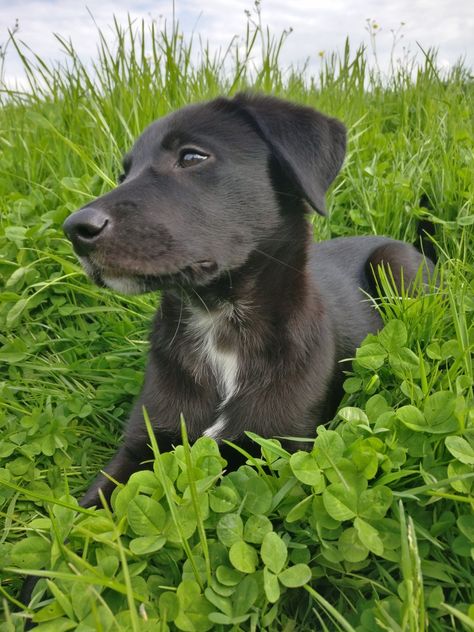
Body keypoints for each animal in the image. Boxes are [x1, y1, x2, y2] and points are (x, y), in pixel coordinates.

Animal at [62, 94, 434, 508]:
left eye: (192, 157)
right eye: (123, 175)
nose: (75, 230)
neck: (219, 321)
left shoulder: (285, 450)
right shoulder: (143, 443)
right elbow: (81, 517)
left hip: (393, 263)